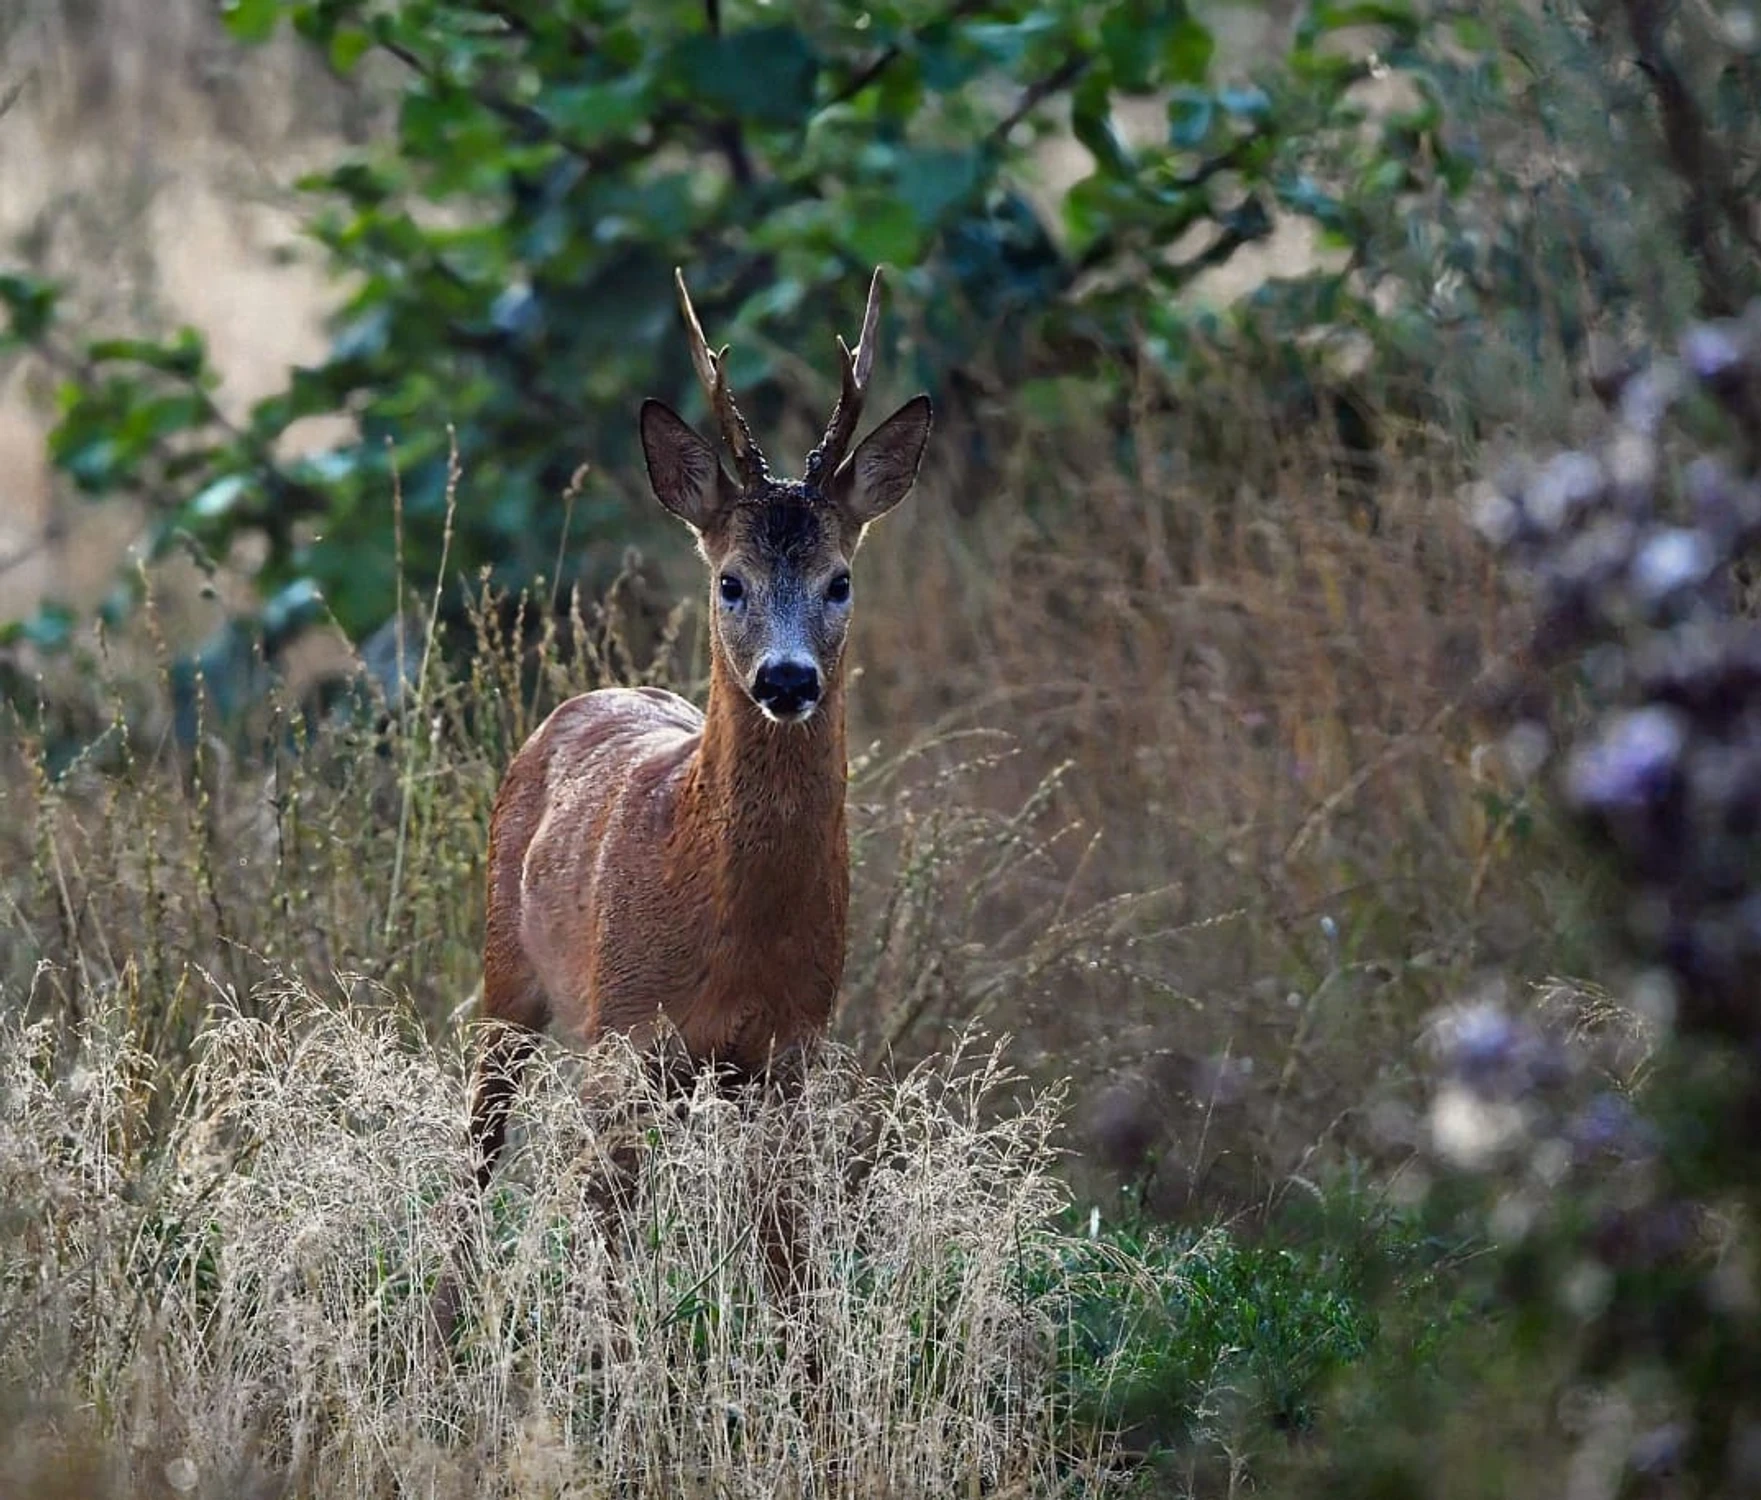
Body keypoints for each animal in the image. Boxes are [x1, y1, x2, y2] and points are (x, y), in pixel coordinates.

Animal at [468, 264, 936, 1190]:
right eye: (730, 581)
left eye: (839, 580)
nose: (787, 679)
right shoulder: (624, 1036)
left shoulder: (790, 1052)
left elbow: (781, 1224)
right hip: (510, 972)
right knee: (480, 1133)